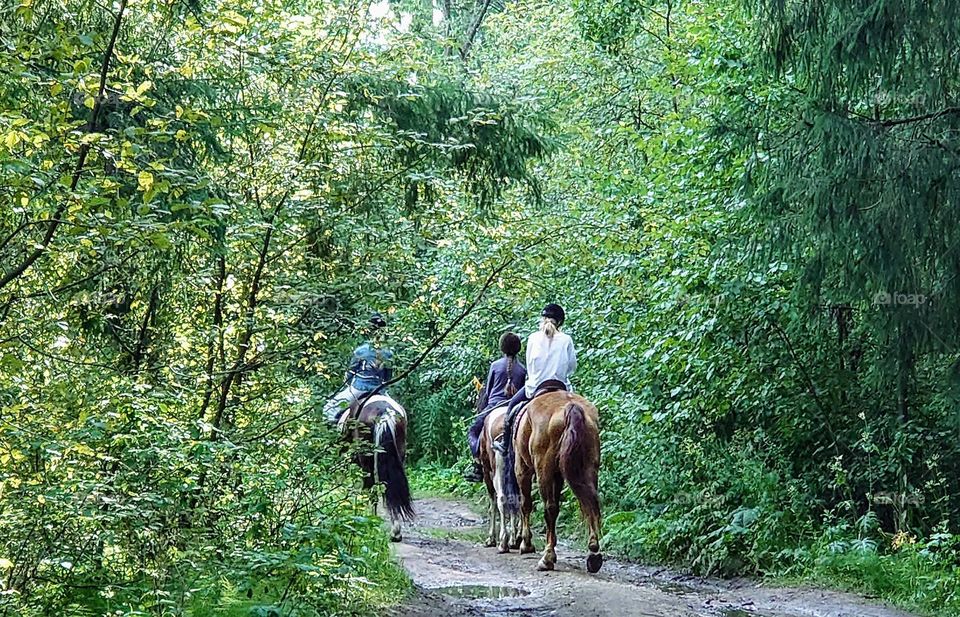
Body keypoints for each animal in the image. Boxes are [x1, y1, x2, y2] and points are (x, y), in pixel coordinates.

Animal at [344, 394, 414, 540]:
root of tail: (384, 413)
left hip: (366, 459)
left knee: (370, 488)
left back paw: (368, 521)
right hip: (399, 453)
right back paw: (395, 531)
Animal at [478, 406, 520, 552]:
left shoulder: (487, 473)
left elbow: (493, 506)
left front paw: (491, 539)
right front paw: (515, 537)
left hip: (497, 472)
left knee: (502, 499)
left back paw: (503, 542)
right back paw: (516, 539)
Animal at [502, 390, 600, 572]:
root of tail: (571, 407)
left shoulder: (522, 469)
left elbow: (525, 504)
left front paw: (526, 543)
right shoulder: (558, 475)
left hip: (543, 471)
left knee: (550, 509)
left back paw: (547, 558)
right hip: (589, 468)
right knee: (591, 504)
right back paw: (594, 553)